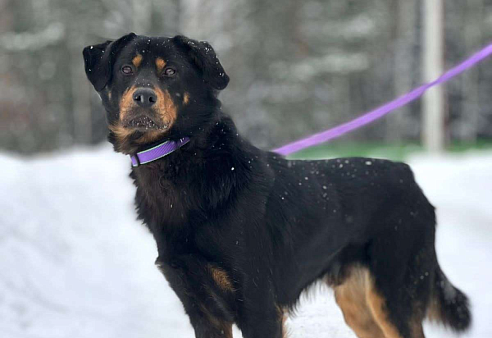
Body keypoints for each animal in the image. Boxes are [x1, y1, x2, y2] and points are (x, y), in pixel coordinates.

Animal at [82, 33, 470, 338]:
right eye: (126, 70)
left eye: (171, 71)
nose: (143, 97)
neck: (182, 159)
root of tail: (408, 174)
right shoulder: (202, 312)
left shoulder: (258, 308)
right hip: (359, 303)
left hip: (394, 294)